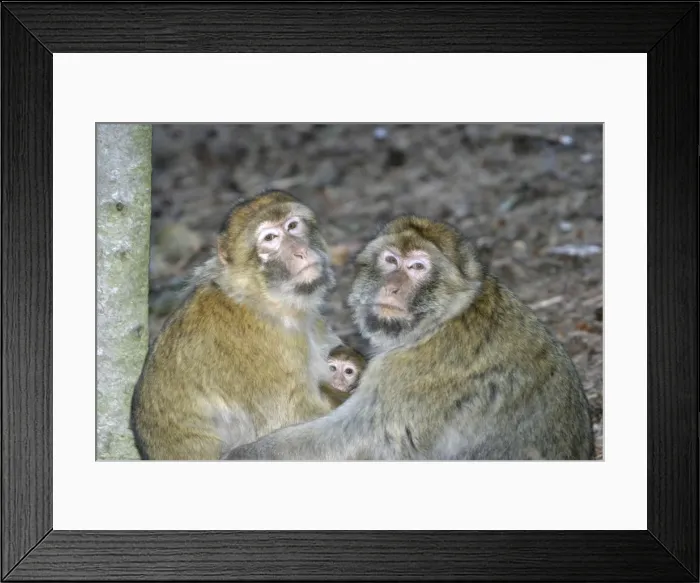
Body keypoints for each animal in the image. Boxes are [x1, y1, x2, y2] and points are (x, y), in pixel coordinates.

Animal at [130, 189, 344, 460]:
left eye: (292, 226)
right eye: (270, 238)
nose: (300, 251)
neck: (265, 299)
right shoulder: (264, 348)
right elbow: (292, 420)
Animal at [223, 215, 594, 461]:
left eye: (417, 267)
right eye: (391, 261)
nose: (393, 287)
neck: (440, 321)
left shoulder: (405, 371)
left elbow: (360, 439)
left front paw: (245, 455)